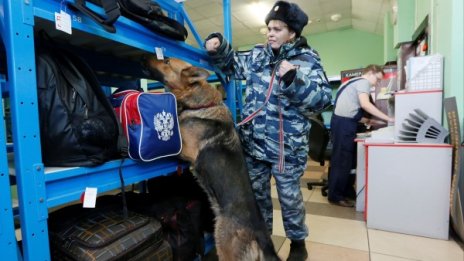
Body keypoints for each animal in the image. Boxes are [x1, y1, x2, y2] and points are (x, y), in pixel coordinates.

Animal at [142, 55, 280, 258]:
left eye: (166, 61)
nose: (144, 58)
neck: (200, 104)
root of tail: (260, 235)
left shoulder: (183, 147)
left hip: (224, 247)